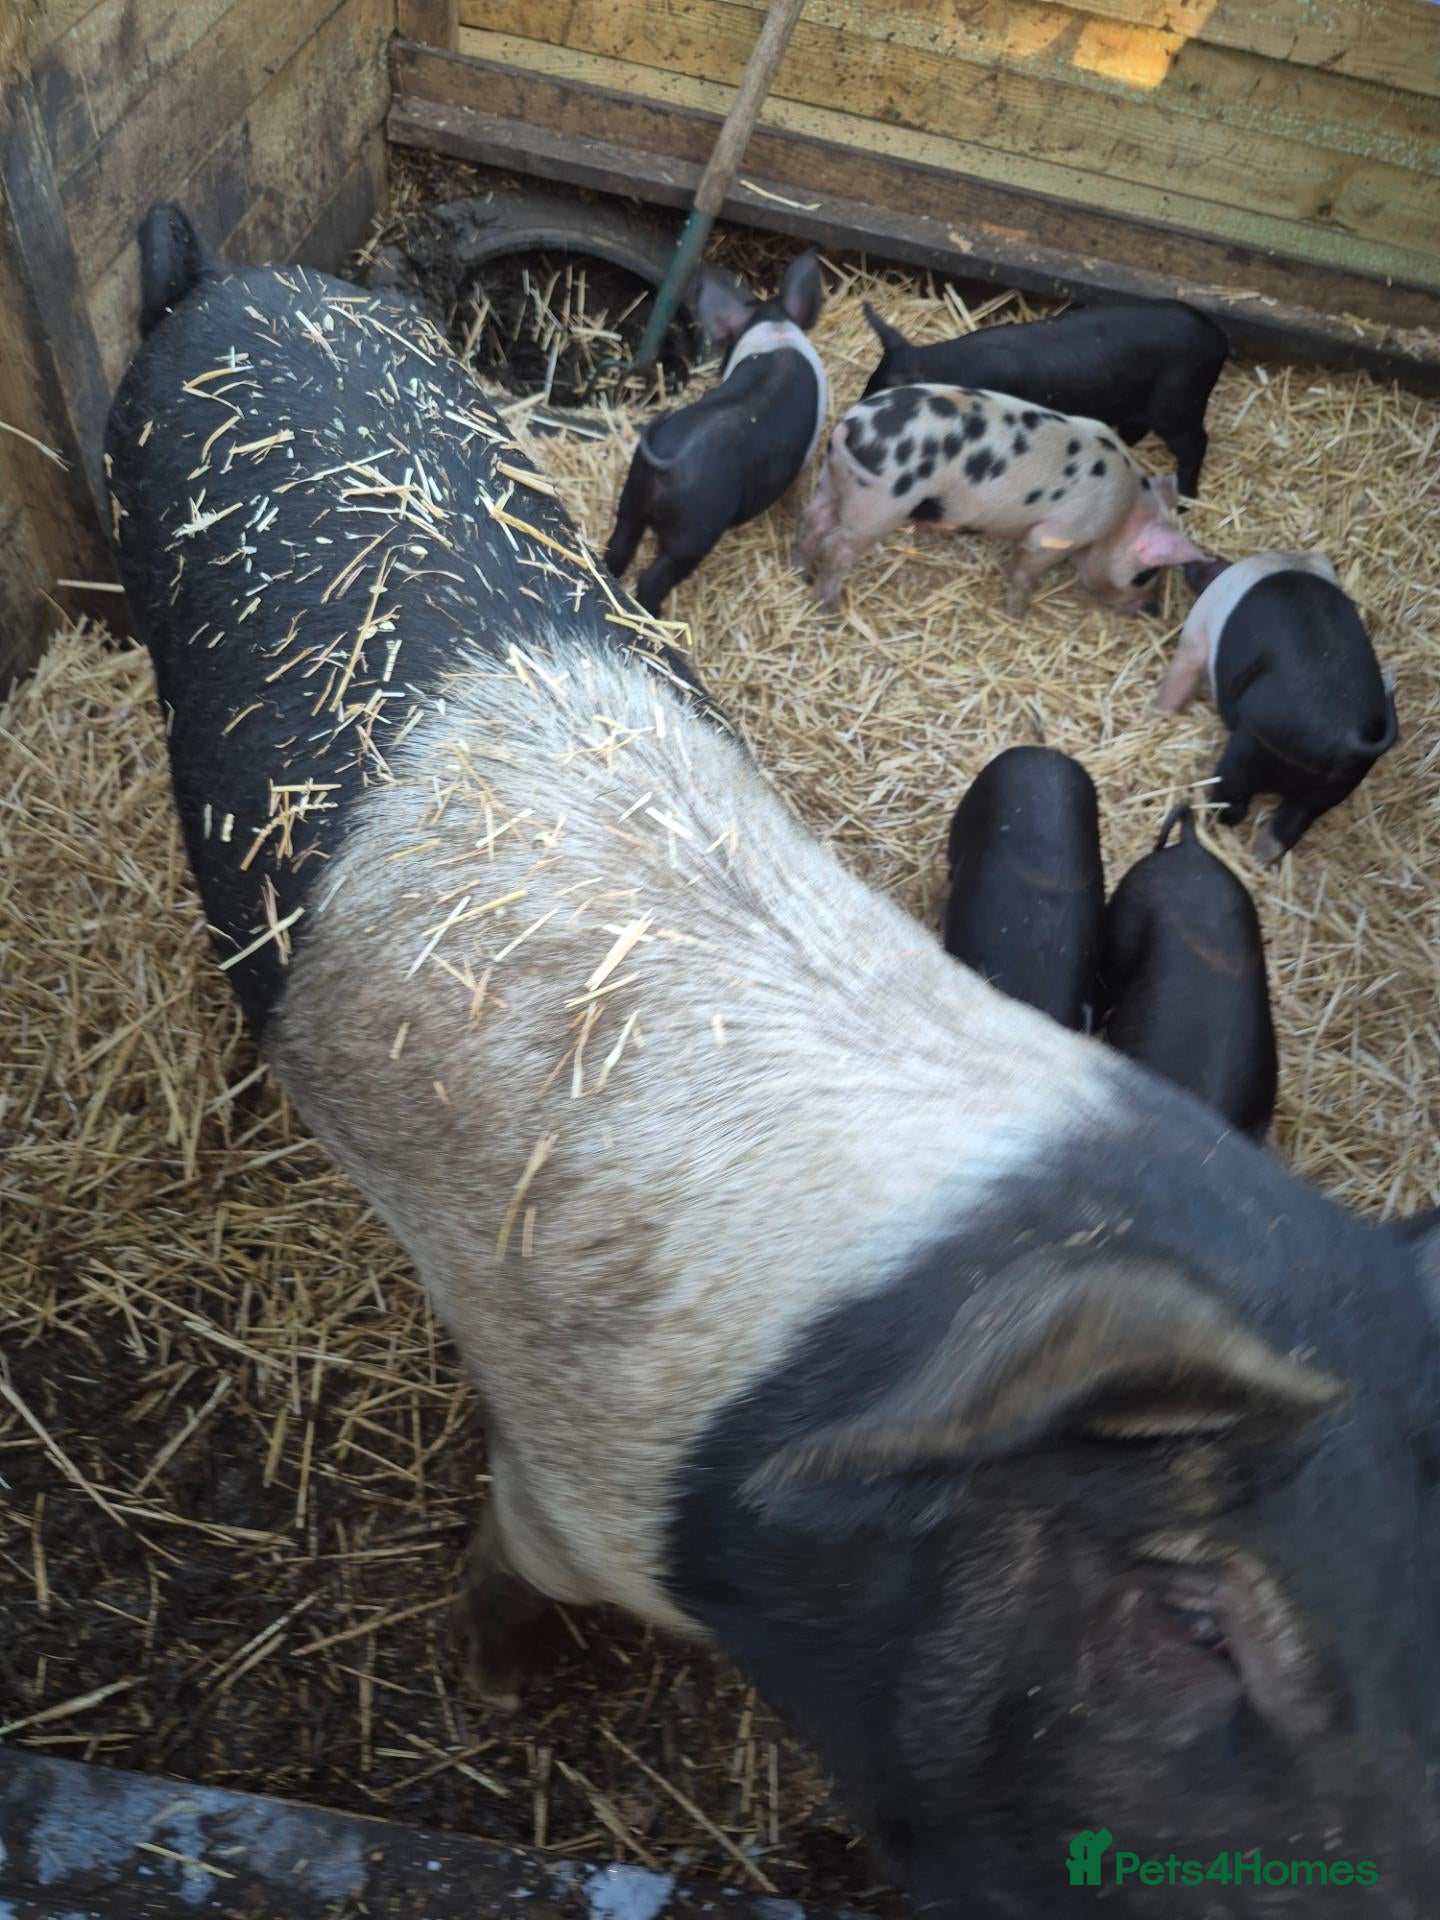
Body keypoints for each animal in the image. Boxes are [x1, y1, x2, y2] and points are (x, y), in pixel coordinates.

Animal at [603, 251, 826, 614]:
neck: (777, 330)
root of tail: (671, 461)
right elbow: (794, 490)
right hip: (693, 535)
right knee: (653, 579)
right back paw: (655, 616)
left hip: (632, 498)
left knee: (618, 547)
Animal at [794, 382, 1205, 614]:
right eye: (1145, 575)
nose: (1152, 611)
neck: (1121, 510)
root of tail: (853, 424)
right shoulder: (1058, 532)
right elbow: (1027, 568)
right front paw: (1019, 613)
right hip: (880, 503)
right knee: (836, 546)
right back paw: (828, 607)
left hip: (835, 479)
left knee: (813, 519)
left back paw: (801, 572)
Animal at [1157, 551, 1398, 862]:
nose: (1188, 562)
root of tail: (1348, 737)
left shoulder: (1196, 634)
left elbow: (1181, 673)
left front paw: (1157, 712)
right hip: (1333, 788)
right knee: (1288, 826)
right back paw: (1259, 860)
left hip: (1249, 748)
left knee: (1232, 802)